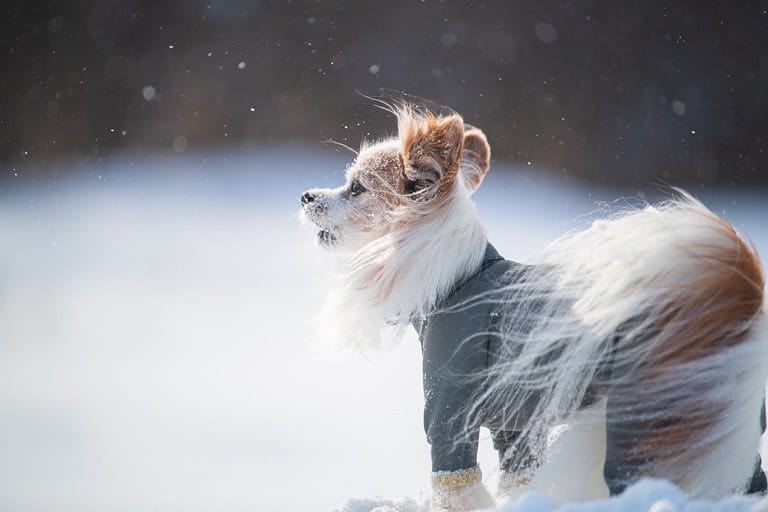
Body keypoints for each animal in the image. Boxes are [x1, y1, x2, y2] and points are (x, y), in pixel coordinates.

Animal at [300, 104, 768, 512]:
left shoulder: (449, 414)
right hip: (718, 426)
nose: (306, 195)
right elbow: (520, 479)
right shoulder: (516, 429)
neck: (456, 279)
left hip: (643, 423)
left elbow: (456, 489)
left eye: (357, 188)